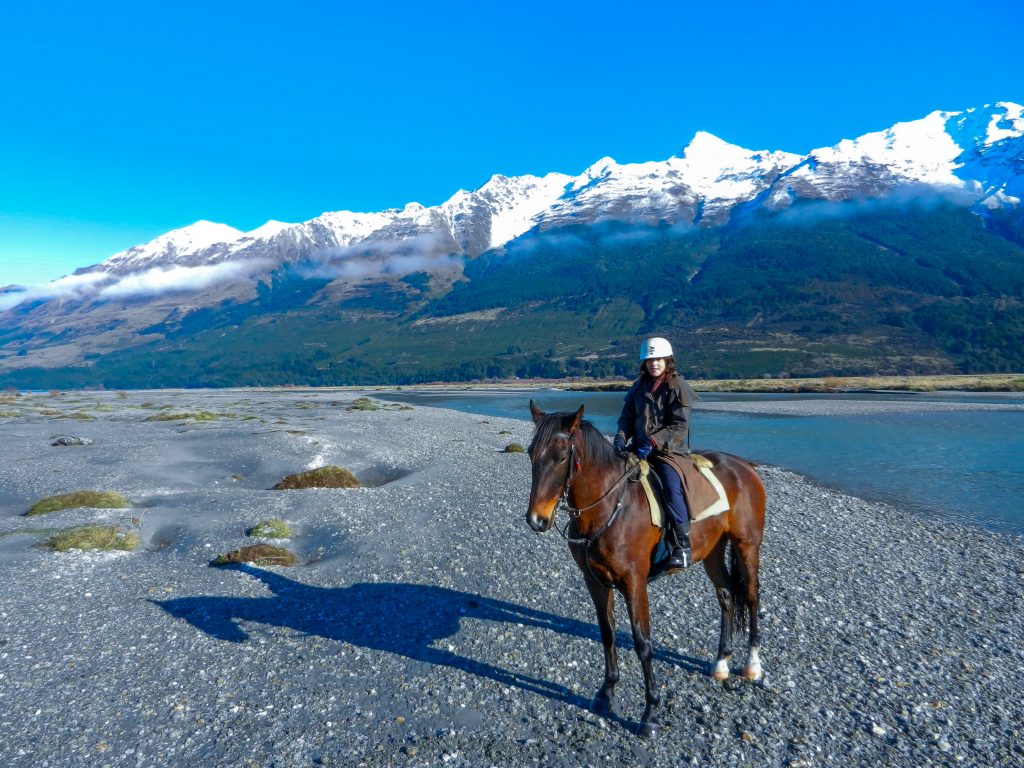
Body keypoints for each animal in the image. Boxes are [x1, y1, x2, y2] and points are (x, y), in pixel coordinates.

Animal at [528, 399, 770, 737]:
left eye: (562, 457)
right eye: (530, 453)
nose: (537, 519)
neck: (610, 506)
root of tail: (745, 467)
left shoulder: (634, 583)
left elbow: (643, 643)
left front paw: (651, 712)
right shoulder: (595, 581)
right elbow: (607, 634)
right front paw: (606, 694)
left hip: (747, 546)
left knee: (750, 596)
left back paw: (752, 665)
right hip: (713, 549)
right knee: (725, 596)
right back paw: (722, 662)